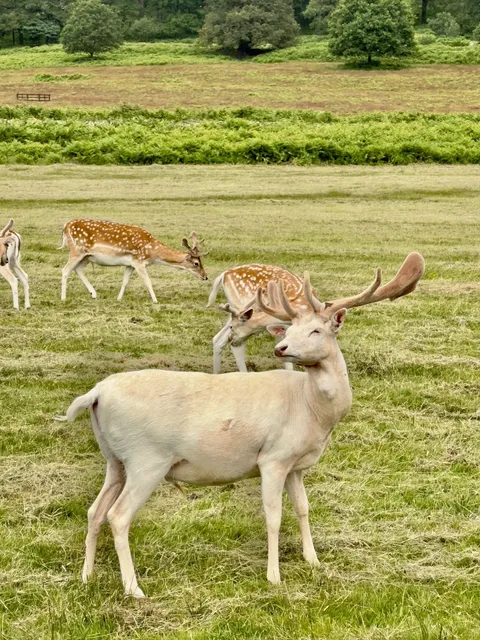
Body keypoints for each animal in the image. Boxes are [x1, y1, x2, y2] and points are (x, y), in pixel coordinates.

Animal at [60, 219, 208, 303]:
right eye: (196, 263)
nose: (205, 277)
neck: (152, 252)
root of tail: (65, 227)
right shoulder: (139, 261)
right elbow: (148, 282)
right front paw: (156, 301)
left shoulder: (130, 264)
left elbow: (125, 282)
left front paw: (119, 299)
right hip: (76, 251)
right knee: (65, 270)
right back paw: (63, 298)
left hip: (87, 256)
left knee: (78, 269)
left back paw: (94, 294)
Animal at [62, 252, 424, 598]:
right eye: (288, 330)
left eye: (315, 330)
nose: (281, 348)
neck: (311, 412)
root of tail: (96, 393)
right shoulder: (273, 458)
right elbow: (274, 516)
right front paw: (274, 577)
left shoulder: (296, 465)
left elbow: (304, 508)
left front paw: (313, 560)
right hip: (146, 459)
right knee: (118, 516)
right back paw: (133, 588)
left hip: (115, 459)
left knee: (94, 511)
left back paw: (86, 576)